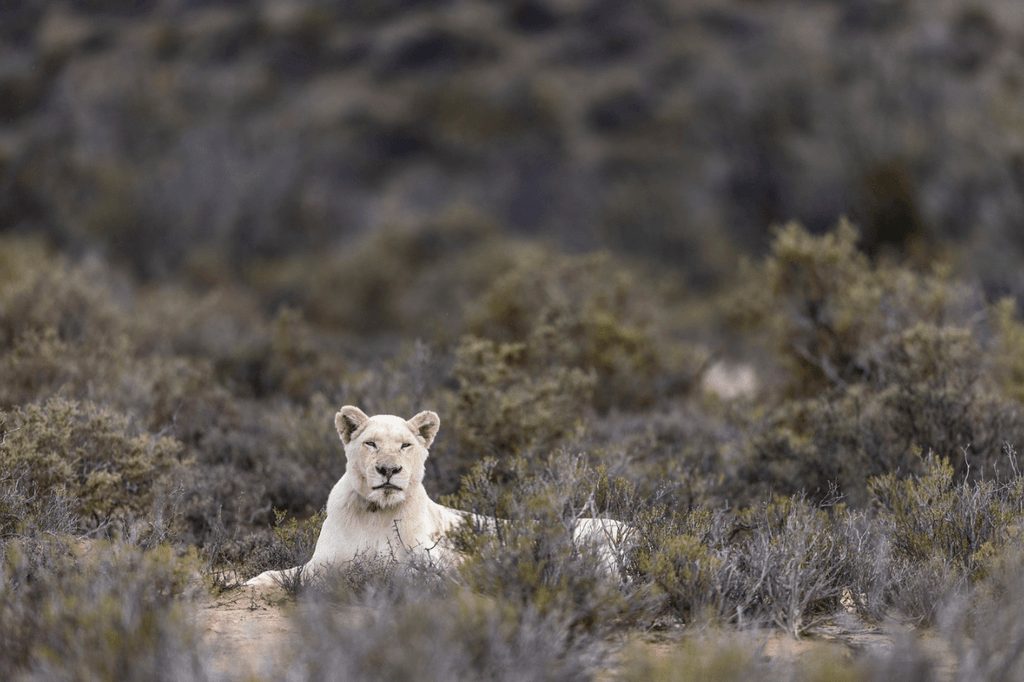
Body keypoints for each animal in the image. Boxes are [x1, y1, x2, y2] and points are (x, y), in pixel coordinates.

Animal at [245, 406, 630, 587]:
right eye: (371, 444)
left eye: (405, 445)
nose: (388, 470)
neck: (376, 512)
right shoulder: (322, 562)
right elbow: (278, 574)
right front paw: (248, 581)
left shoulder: (435, 565)